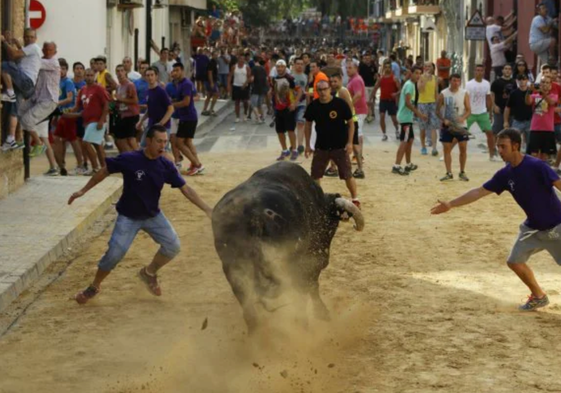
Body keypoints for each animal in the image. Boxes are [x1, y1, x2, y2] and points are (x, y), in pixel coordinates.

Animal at [211, 161, 364, 332]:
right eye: (333, 224)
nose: (325, 260)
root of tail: (253, 216)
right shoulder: (309, 262)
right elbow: (311, 287)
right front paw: (321, 313)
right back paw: (302, 324)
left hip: (232, 268)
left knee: (248, 306)